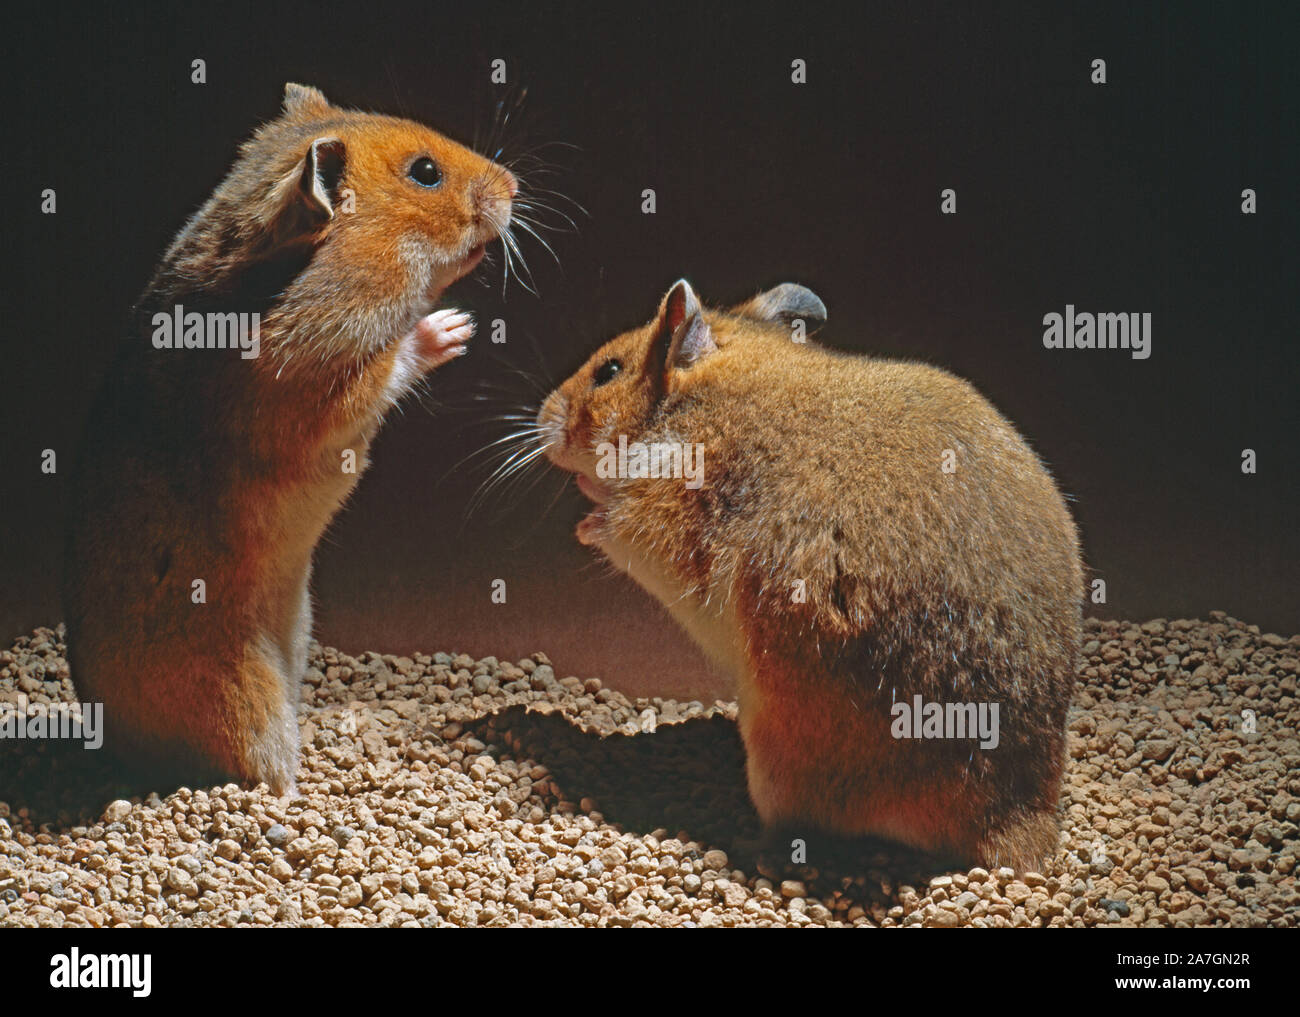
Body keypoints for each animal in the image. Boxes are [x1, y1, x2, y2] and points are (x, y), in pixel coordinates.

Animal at [62, 81, 517, 795]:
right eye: (425, 173)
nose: (516, 185)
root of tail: (112, 750)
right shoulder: (309, 383)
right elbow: (387, 366)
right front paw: (455, 327)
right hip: (246, 697)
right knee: (260, 773)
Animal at [533, 280, 1081, 873]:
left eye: (607, 371)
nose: (541, 416)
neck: (698, 405)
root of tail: (1020, 823)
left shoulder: (656, 525)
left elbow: (614, 523)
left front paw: (586, 518)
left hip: (778, 761)